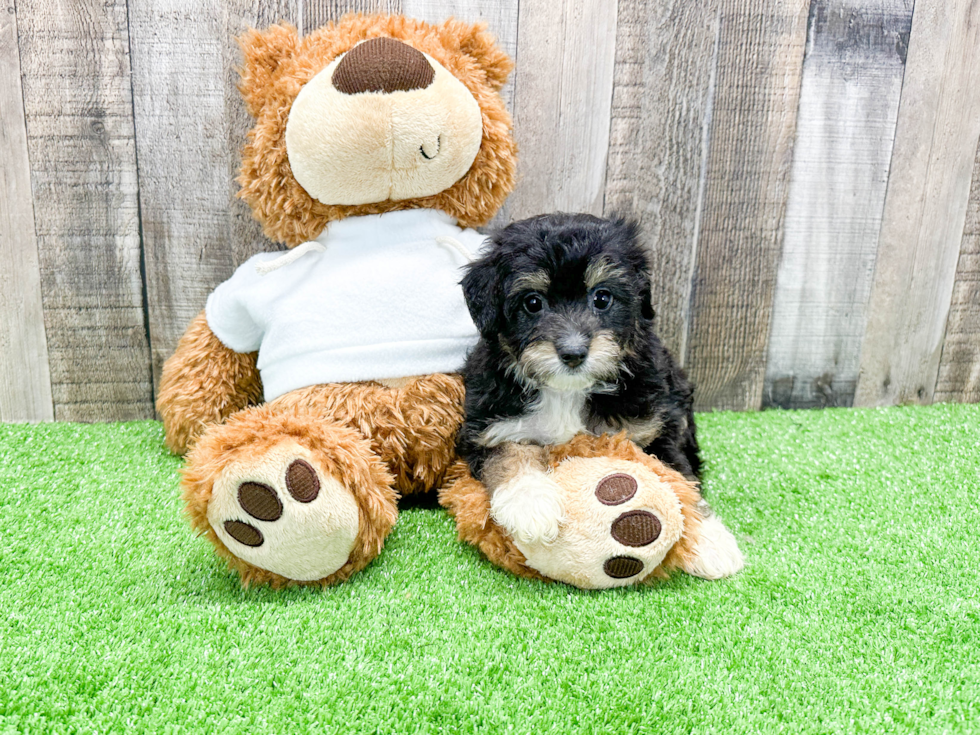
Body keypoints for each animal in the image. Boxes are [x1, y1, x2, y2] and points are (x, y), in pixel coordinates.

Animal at [460, 211, 744, 576]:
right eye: (533, 303)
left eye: (602, 298)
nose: (573, 353)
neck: (567, 392)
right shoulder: (487, 426)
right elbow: (506, 456)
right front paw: (532, 505)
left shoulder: (655, 428)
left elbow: (679, 480)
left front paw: (709, 542)